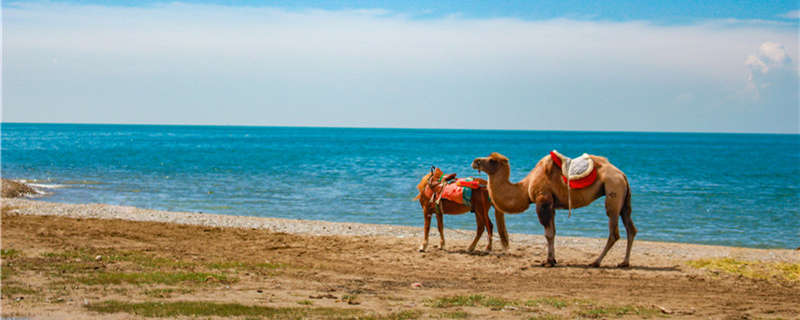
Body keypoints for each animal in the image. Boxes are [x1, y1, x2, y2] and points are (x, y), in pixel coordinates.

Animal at [472, 152, 636, 268]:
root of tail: (622, 175)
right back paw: (624, 263)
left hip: (613, 190)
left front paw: (548, 261)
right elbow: (553, 232)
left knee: (614, 232)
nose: (475, 161)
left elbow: (548, 234)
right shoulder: (551, 205)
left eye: (492, 160)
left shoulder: (543, 201)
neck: (525, 187)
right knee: (630, 228)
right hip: (624, 199)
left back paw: (596, 262)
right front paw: (552, 259)